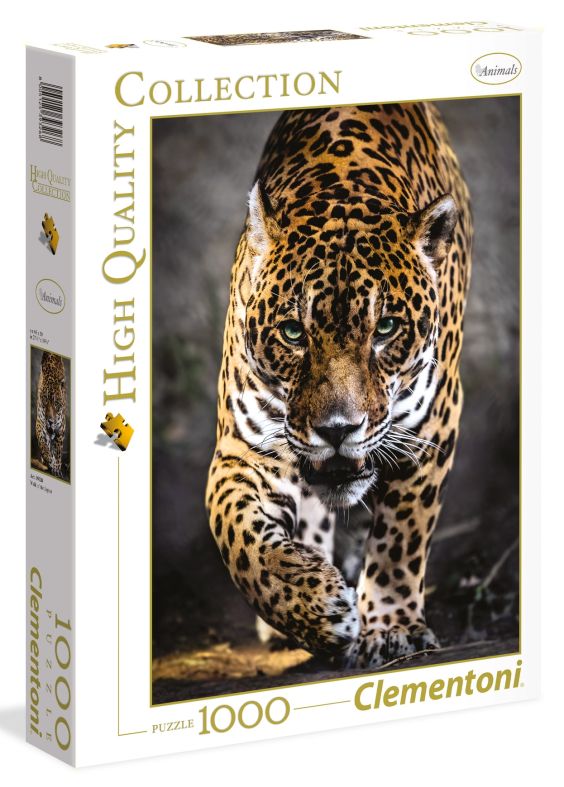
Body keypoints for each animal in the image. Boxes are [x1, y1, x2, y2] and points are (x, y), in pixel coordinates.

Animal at [206, 102, 472, 668]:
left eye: (386, 328)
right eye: (292, 332)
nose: (337, 430)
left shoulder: (431, 428)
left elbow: (401, 536)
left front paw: (390, 628)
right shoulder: (245, 447)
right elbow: (236, 534)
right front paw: (314, 606)